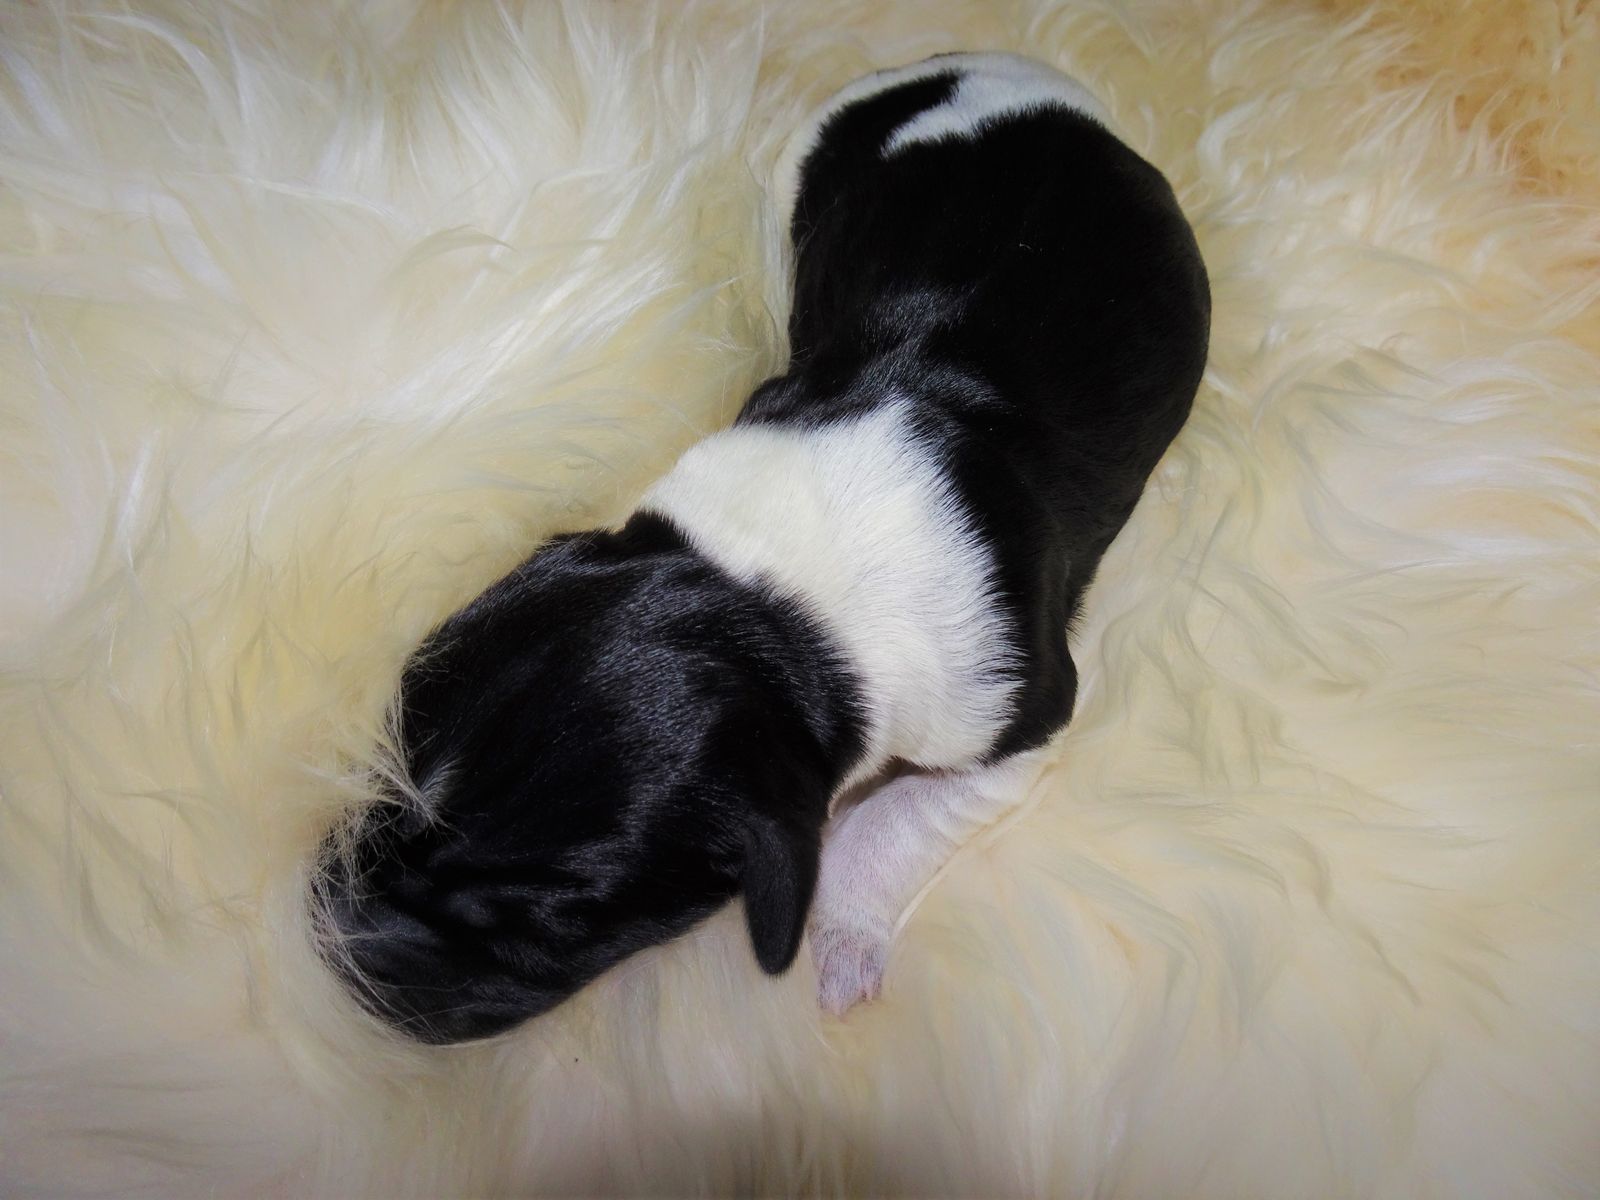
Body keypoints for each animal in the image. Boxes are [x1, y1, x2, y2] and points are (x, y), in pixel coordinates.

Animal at [315, 52, 1210, 1043]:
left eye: (541, 925)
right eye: (387, 751)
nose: (326, 948)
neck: (774, 592)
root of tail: (998, 67)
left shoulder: (1020, 706)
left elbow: (906, 812)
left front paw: (846, 934)